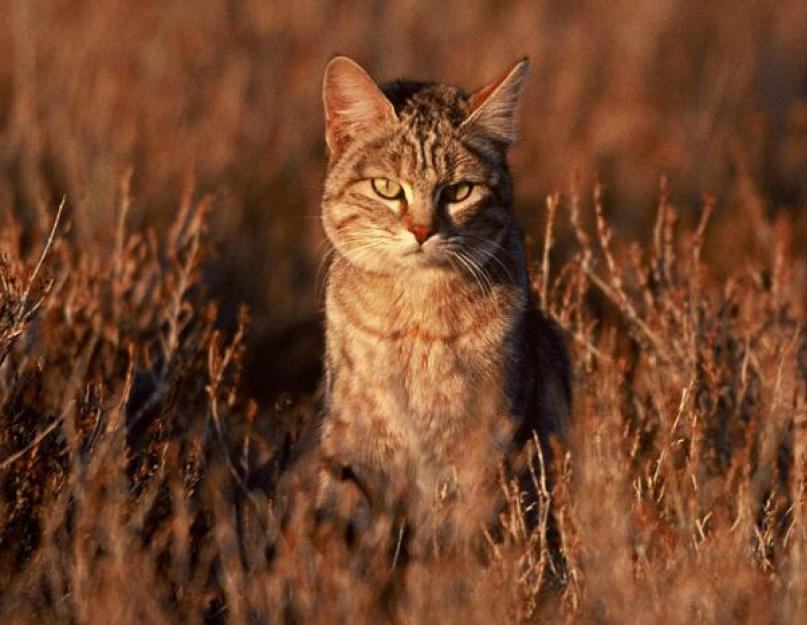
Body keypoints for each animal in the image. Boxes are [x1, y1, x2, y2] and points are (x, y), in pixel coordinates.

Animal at [314, 54, 568, 552]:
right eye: (386, 187)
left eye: (458, 191)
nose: (421, 230)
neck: (416, 321)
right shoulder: (352, 439)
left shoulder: (484, 447)